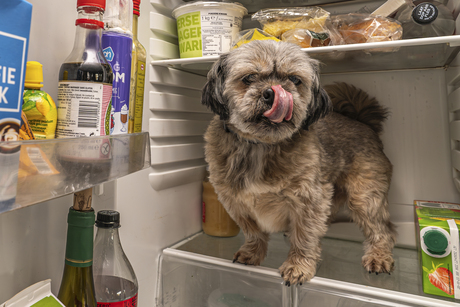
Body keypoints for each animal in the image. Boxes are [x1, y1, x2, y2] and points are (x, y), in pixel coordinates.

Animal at [201, 40, 396, 286]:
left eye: (294, 79)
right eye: (249, 77)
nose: (271, 93)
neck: (261, 146)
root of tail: (362, 122)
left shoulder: (310, 200)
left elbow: (305, 236)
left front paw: (298, 266)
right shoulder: (236, 202)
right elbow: (254, 231)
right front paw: (252, 253)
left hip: (365, 196)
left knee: (382, 229)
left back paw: (379, 256)